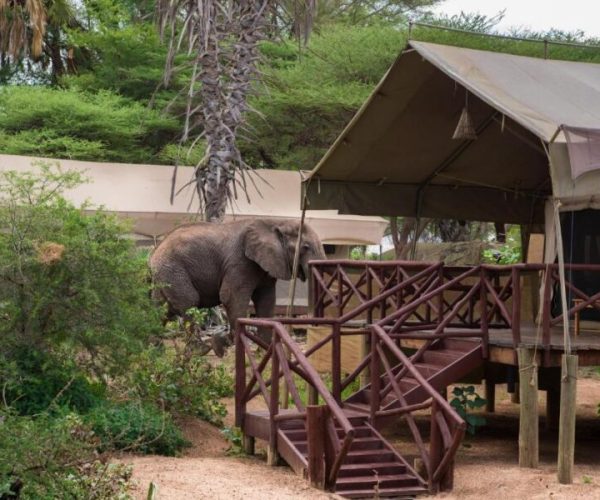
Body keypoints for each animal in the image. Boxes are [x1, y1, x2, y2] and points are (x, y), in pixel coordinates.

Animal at [150, 217, 328, 350]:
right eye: (306, 247)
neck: (276, 222)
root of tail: (154, 251)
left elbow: (266, 300)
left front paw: (264, 349)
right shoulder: (240, 261)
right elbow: (231, 297)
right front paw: (229, 344)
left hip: (165, 275)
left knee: (162, 308)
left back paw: (154, 347)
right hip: (173, 270)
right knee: (189, 301)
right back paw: (200, 349)